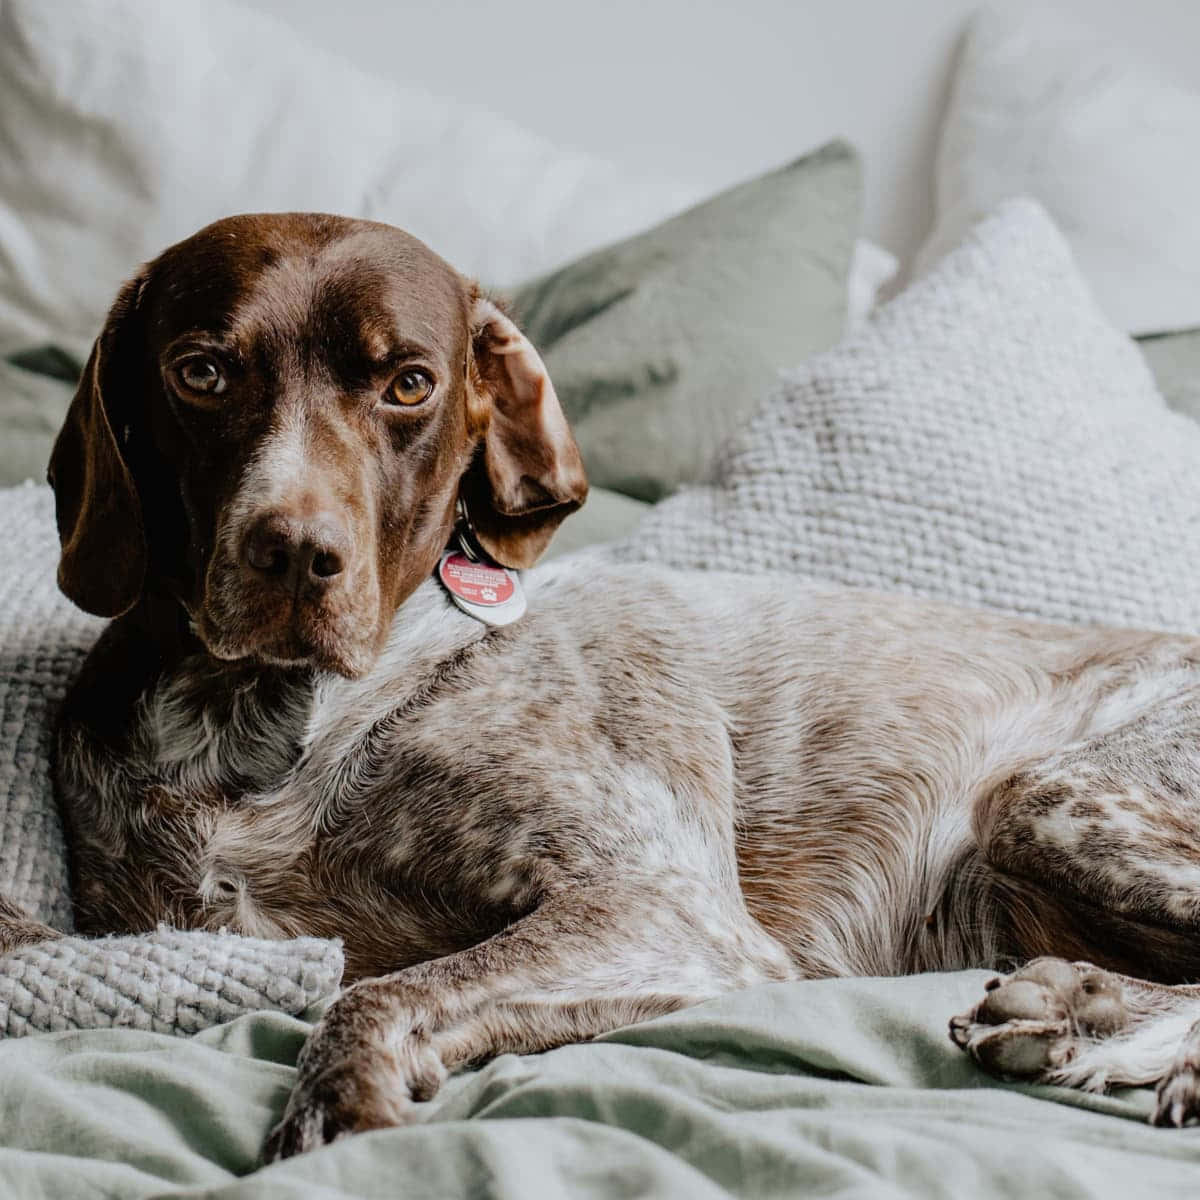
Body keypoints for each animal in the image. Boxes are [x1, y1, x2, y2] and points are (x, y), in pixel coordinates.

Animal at [9, 211, 1200, 1156]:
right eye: (202, 371)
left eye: (409, 383)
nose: (297, 553)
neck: (271, 724)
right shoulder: (151, 925)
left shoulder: (663, 907)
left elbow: (381, 992)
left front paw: (340, 1113)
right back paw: (1067, 1006)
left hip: (1050, 798)